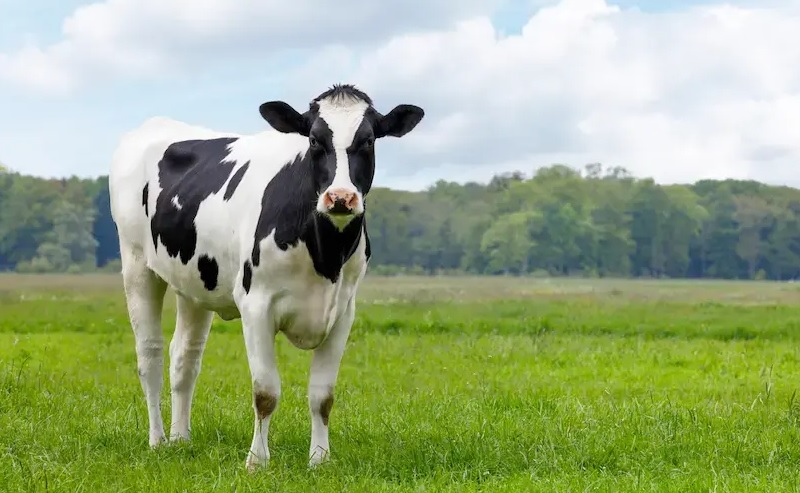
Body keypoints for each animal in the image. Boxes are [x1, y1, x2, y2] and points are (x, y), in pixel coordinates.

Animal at [108, 84, 424, 470]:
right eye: (314, 140)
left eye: (367, 140)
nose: (340, 198)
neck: (325, 255)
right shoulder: (255, 304)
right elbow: (266, 392)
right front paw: (257, 462)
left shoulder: (343, 312)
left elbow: (323, 396)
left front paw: (319, 460)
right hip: (136, 262)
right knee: (150, 354)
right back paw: (157, 440)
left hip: (194, 282)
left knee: (185, 356)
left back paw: (181, 439)